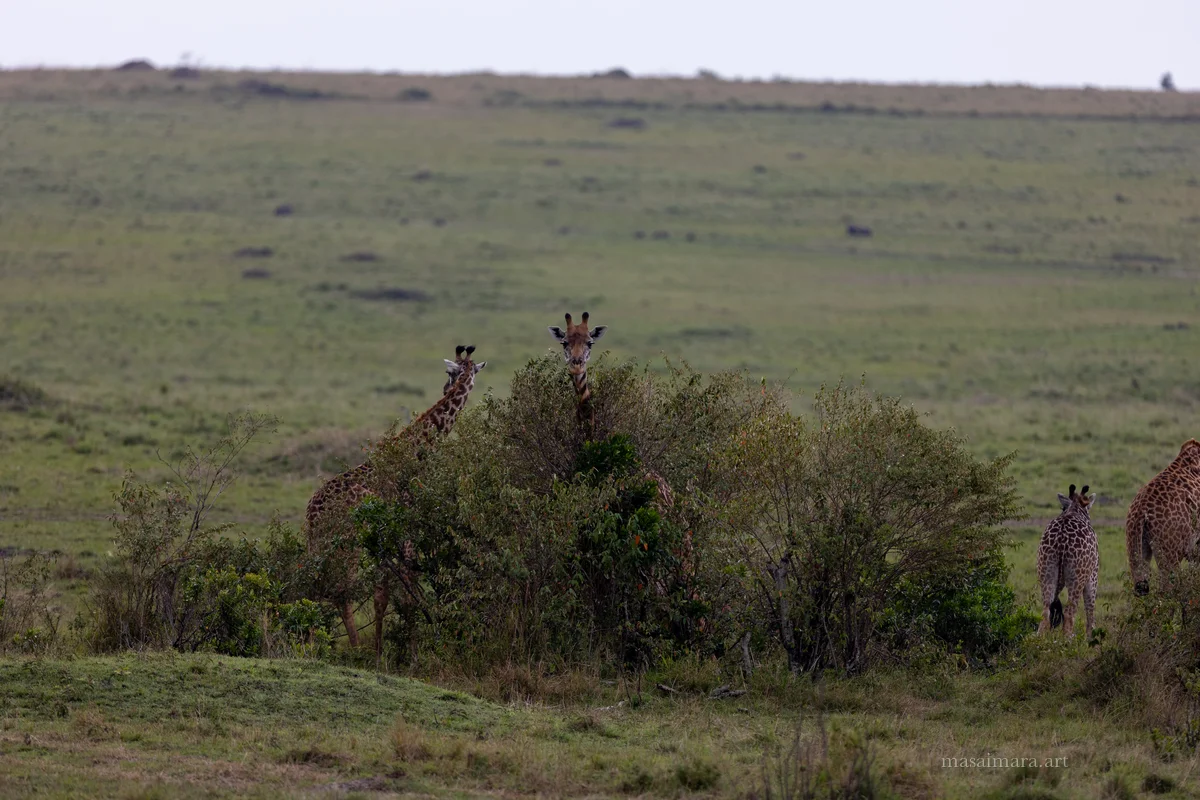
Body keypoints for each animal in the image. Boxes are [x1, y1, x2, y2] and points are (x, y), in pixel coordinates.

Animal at [305, 345, 486, 653]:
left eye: (451, 373)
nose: (445, 388)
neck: (417, 448)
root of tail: (312, 514)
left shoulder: (384, 537)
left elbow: (382, 595)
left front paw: (381, 651)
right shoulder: (406, 527)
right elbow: (408, 592)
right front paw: (409, 653)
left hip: (320, 544)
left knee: (311, 583)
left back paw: (306, 642)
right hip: (347, 542)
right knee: (340, 590)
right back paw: (353, 650)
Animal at [1036, 483, 1099, 637]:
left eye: (1061, 507)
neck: (1075, 509)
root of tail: (1061, 539)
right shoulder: (1093, 574)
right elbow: (1090, 608)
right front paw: (1091, 638)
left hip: (1046, 571)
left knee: (1045, 612)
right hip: (1077, 578)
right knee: (1070, 613)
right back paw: (1069, 640)